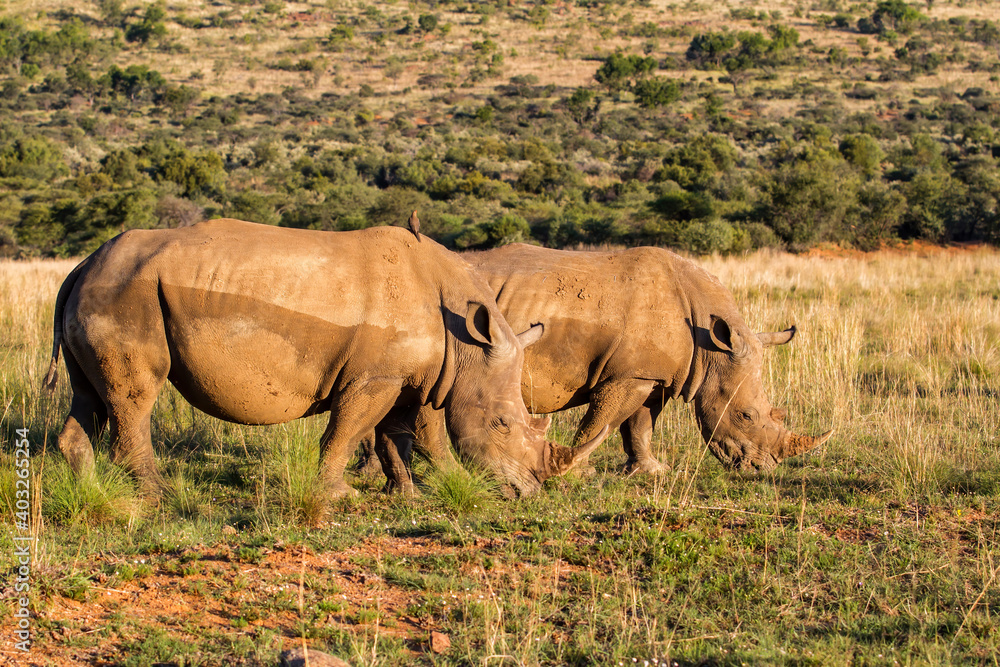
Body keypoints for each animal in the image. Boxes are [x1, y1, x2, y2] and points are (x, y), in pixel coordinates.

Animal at [43, 219, 606, 498]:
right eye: (503, 423)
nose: (530, 491)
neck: (468, 344)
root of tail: (81, 266)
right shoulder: (376, 377)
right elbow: (352, 429)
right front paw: (339, 495)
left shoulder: (418, 376)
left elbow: (407, 434)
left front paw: (420, 492)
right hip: (127, 293)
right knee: (136, 396)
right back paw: (156, 494)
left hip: (104, 290)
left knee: (92, 396)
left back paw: (88, 487)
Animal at [398, 243, 831, 475]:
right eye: (745, 416)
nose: (762, 469)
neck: (711, 347)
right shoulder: (629, 374)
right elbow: (603, 420)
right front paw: (579, 469)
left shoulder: (652, 375)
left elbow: (639, 425)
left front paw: (650, 471)